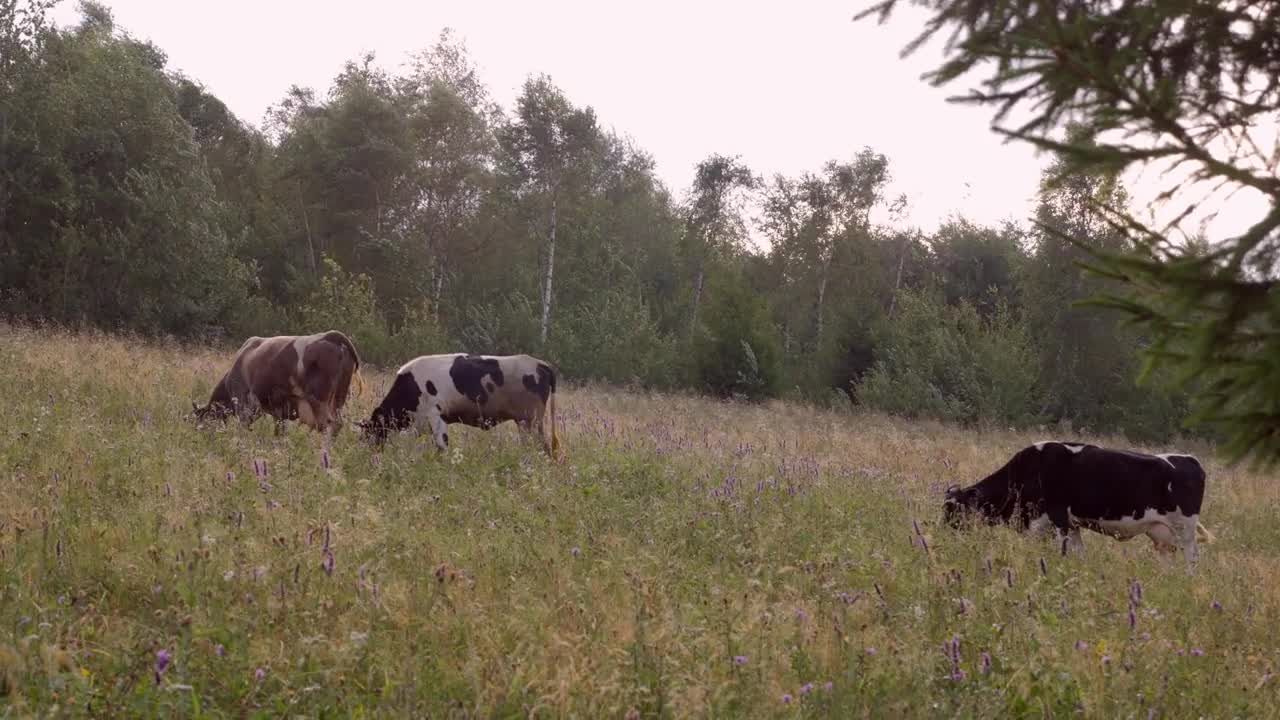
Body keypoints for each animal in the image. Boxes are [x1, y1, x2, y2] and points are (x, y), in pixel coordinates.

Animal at [193, 330, 366, 438]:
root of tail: (330, 336)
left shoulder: (244, 405)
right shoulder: (279, 412)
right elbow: (280, 432)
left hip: (318, 400)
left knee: (327, 425)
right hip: (339, 399)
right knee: (337, 424)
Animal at [358, 353, 563, 458]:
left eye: (370, 433)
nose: (370, 455)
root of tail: (539, 363)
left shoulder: (436, 416)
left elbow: (442, 446)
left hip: (530, 421)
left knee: (540, 447)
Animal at [947, 438, 1213, 561]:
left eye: (956, 510)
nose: (947, 532)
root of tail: (1190, 459)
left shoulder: (1057, 519)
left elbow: (1062, 551)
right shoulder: (1071, 524)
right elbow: (1078, 554)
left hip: (1185, 530)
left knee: (1191, 558)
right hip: (1161, 534)